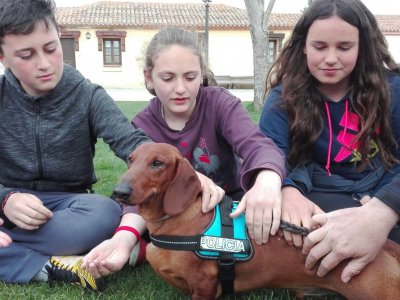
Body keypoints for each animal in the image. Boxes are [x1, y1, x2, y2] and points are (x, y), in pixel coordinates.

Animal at [111, 143, 400, 300]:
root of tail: (384, 246)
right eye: (131, 159)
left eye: (157, 163)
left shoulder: (204, 286)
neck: (176, 220)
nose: (119, 192)